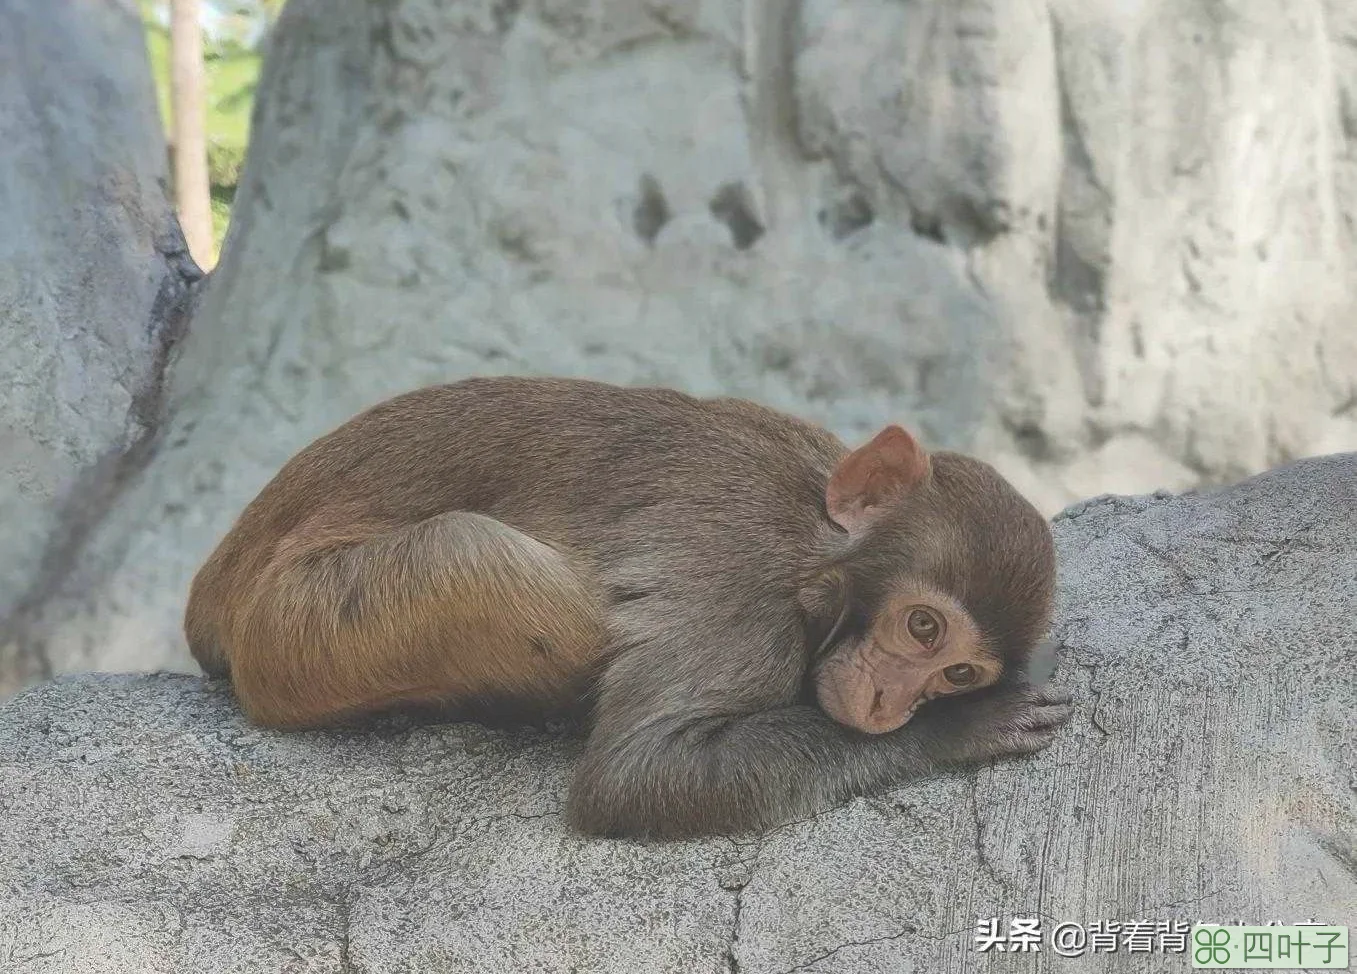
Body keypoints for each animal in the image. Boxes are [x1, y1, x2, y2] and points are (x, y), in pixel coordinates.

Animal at [185, 377, 1069, 841]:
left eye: (956, 670)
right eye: (921, 625)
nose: (893, 705)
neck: (816, 538)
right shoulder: (739, 587)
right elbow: (634, 777)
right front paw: (955, 733)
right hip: (295, 634)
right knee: (480, 556)